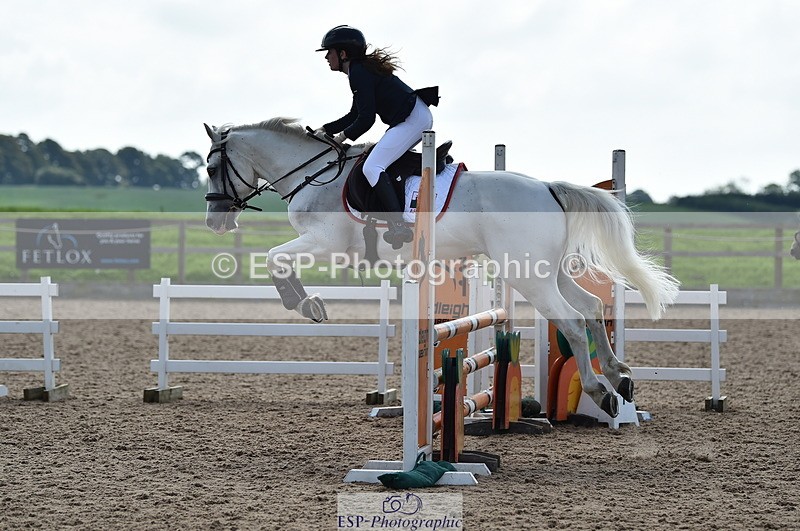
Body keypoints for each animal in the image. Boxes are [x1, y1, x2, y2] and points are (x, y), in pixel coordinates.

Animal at [202, 117, 680, 418]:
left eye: (210, 166)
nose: (215, 221)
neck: (316, 175)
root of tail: (547, 187)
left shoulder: (325, 243)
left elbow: (275, 257)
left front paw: (306, 305)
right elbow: (277, 258)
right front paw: (308, 303)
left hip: (528, 277)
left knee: (575, 322)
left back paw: (601, 391)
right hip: (550, 272)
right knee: (592, 310)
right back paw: (620, 377)